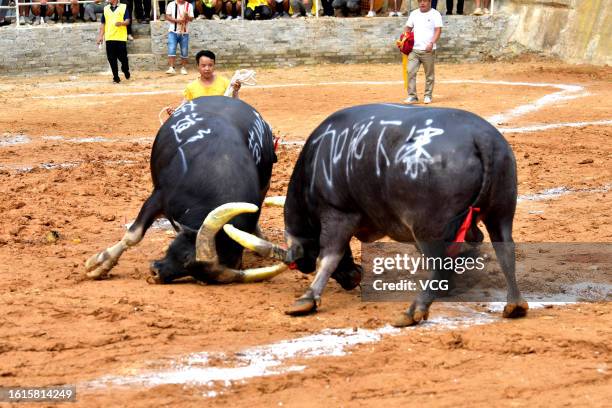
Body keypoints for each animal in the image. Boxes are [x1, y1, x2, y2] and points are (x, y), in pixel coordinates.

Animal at [85, 96, 286, 284]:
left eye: (197, 275)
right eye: (187, 256)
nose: (156, 273)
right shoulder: (157, 197)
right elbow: (133, 235)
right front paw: (99, 265)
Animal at [222, 104, 528, 326]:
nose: (353, 278)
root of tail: (482, 139)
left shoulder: (337, 213)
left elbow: (329, 256)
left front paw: (307, 299)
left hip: (428, 227)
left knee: (440, 261)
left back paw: (414, 310)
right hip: (500, 213)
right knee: (505, 250)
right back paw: (514, 304)